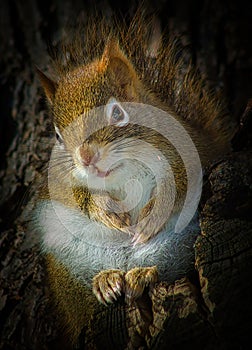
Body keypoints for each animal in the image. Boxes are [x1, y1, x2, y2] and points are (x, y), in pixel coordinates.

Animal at [32, 10, 234, 348]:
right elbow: (77, 196)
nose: (86, 157)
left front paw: (149, 220)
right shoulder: (60, 183)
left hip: (182, 244)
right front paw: (106, 212)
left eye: (117, 113)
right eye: (58, 136)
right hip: (70, 267)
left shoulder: (187, 152)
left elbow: (179, 183)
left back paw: (143, 273)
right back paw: (106, 280)